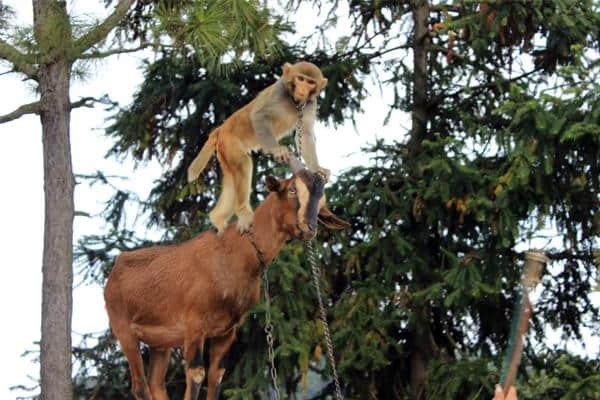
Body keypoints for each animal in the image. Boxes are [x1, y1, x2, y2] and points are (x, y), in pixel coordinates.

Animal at [103, 172, 346, 400]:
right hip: (124, 330)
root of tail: (114, 270)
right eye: (292, 190)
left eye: (321, 200)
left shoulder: (227, 331)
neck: (236, 255)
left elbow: (216, 376)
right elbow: (196, 374)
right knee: (140, 386)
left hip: (160, 343)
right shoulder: (194, 324)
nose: (309, 227)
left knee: (156, 385)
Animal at [188, 62, 330, 234]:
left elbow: (306, 134)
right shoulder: (278, 92)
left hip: (224, 150)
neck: (292, 99)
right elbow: (259, 116)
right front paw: (277, 150)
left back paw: (217, 220)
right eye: (300, 79)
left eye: (310, 82)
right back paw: (243, 213)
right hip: (230, 142)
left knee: (231, 180)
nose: (302, 89)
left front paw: (317, 169)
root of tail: (221, 129)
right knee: (243, 164)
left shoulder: (310, 104)